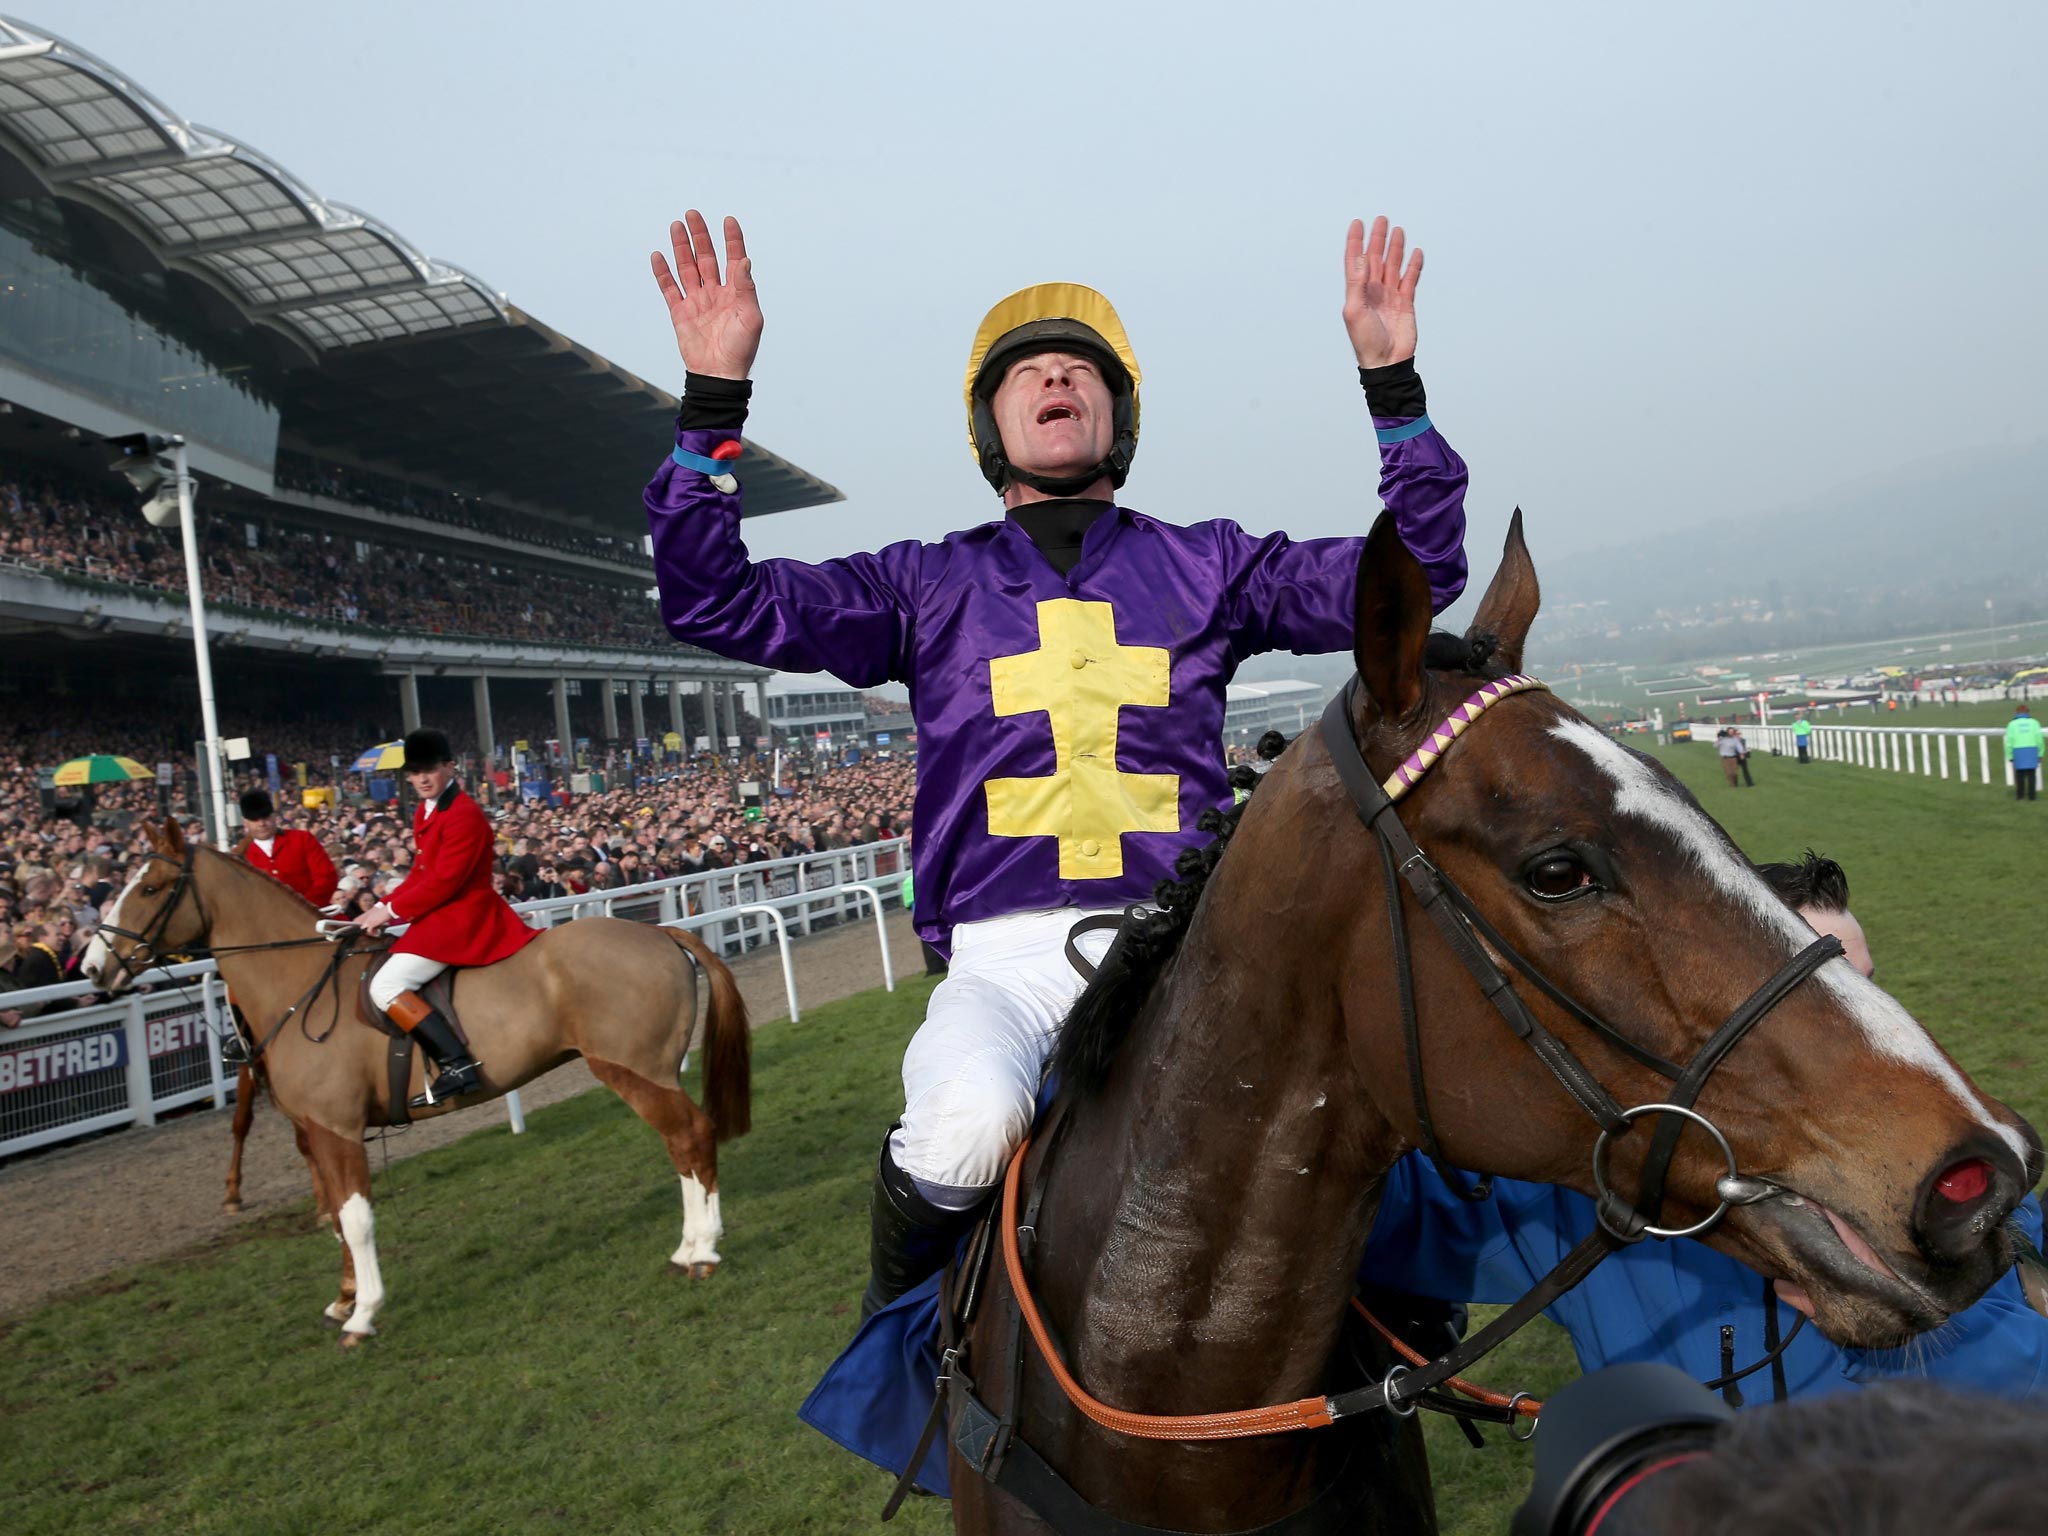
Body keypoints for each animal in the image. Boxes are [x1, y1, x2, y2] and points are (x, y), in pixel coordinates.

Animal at [81, 819, 753, 1343]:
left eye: (150, 888)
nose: (92, 967)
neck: (297, 983)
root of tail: (658, 931)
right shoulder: (315, 1131)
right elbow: (335, 1214)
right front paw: (345, 1299)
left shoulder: (336, 1127)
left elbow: (355, 1217)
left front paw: (363, 1314)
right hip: (649, 1072)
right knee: (684, 1145)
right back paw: (692, 1246)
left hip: (635, 1072)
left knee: (690, 1137)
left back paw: (702, 1251)